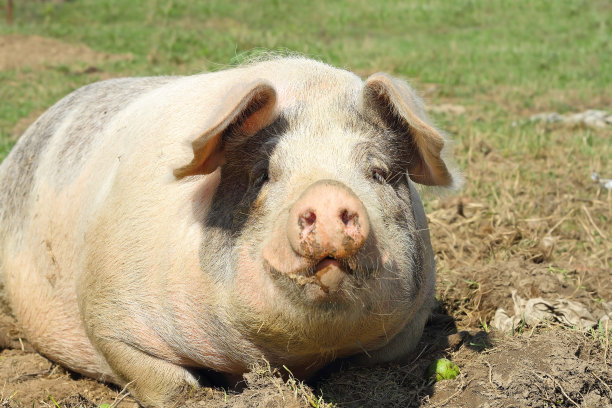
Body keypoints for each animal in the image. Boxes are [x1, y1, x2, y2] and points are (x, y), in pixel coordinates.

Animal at [0, 58, 460, 408]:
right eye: (264, 174)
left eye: (378, 173)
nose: (328, 193)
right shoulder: (105, 304)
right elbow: (152, 375)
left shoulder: (411, 322)